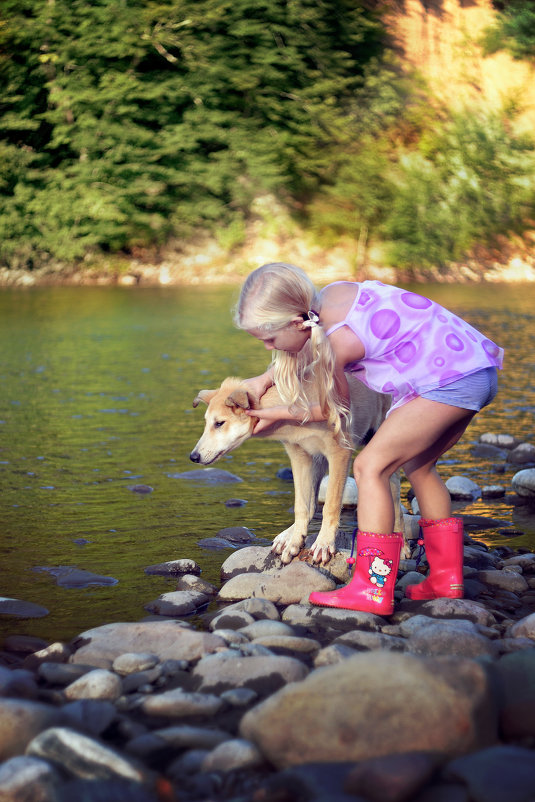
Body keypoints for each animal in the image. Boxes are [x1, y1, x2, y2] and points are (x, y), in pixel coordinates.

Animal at [191, 374, 404, 564]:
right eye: (207, 423)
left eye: (219, 423)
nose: (193, 457)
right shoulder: (299, 455)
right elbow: (302, 506)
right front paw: (295, 540)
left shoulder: (339, 452)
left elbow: (331, 505)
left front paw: (324, 543)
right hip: (318, 461)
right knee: (311, 504)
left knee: (393, 492)